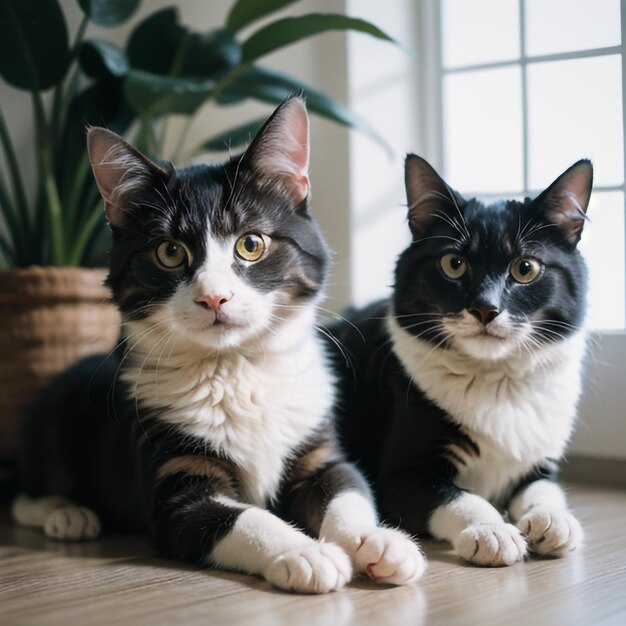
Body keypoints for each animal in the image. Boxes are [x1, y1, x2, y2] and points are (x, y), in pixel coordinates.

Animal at [11, 97, 424, 588]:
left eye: (251, 244)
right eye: (170, 252)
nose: (214, 296)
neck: (236, 366)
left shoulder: (317, 447)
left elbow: (347, 487)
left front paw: (377, 540)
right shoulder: (174, 476)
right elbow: (240, 517)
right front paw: (304, 552)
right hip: (53, 417)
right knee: (25, 490)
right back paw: (68, 515)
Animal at [332, 154, 588, 564]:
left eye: (526, 268)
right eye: (453, 264)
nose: (486, 308)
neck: (497, 380)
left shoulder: (538, 463)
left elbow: (543, 489)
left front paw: (554, 520)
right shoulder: (401, 478)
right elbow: (458, 496)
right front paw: (492, 530)